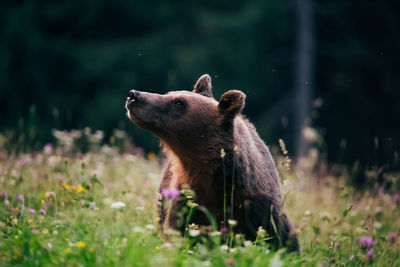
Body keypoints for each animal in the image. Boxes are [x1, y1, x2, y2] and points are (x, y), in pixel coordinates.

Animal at [125, 74, 300, 254]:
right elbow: (180, 232)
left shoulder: (256, 205)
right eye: (169, 93)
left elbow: (275, 237)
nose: (134, 95)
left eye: (179, 102)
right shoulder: (186, 199)